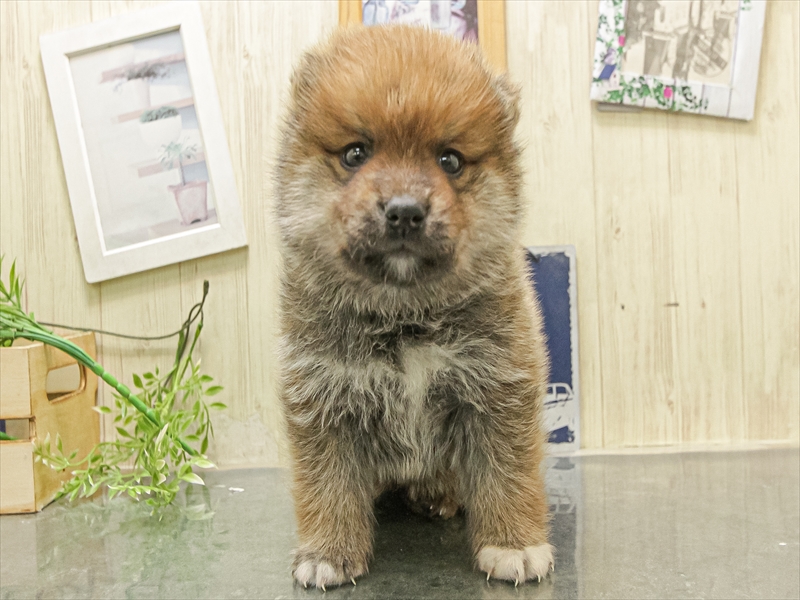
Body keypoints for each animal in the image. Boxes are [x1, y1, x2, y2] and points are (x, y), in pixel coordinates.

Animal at [275, 24, 553, 589]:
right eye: (356, 154)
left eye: (449, 160)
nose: (404, 211)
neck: (404, 318)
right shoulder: (321, 398)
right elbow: (328, 484)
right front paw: (328, 551)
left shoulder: (500, 388)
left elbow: (509, 472)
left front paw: (513, 543)